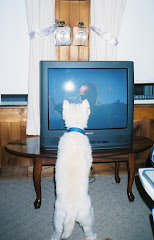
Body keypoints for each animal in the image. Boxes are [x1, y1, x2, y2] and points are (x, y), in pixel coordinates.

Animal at [51, 99, 96, 240]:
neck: (75, 130)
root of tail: (71, 212)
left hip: (58, 215)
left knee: (59, 229)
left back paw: (54, 236)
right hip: (87, 213)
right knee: (87, 228)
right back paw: (92, 235)